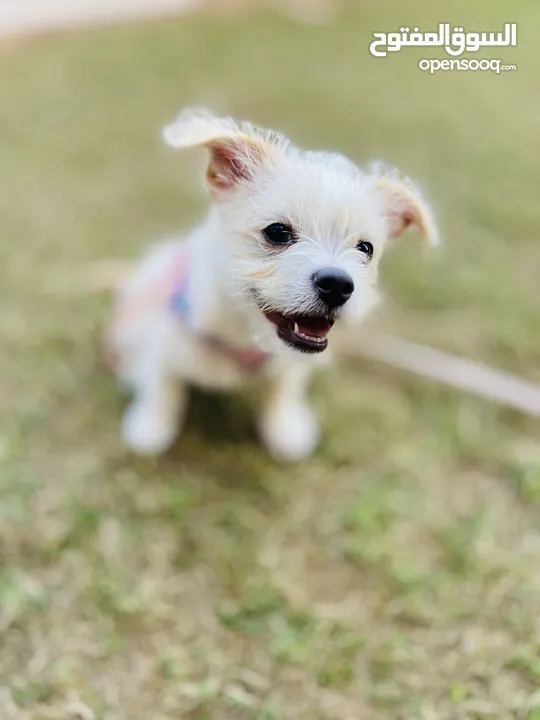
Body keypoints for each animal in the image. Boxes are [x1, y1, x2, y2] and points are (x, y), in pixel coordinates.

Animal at [106, 110, 438, 464]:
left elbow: (283, 387)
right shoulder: (162, 340)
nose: (337, 285)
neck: (244, 333)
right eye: (277, 232)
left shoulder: (288, 365)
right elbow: (163, 385)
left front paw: (284, 427)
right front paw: (150, 426)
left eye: (366, 248)